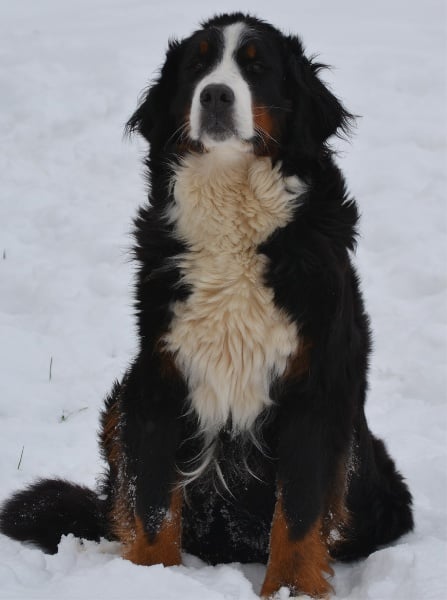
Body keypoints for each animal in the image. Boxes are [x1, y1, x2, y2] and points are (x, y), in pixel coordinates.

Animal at [0, 14, 414, 600]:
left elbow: (300, 512)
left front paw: (291, 587)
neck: (232, 218)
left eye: (257, 67)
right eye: (197, 66)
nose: (216, 94)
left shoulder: (315, 390)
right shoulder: (159, 380)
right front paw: (147, 581)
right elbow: (152, 504)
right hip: (120, 401)